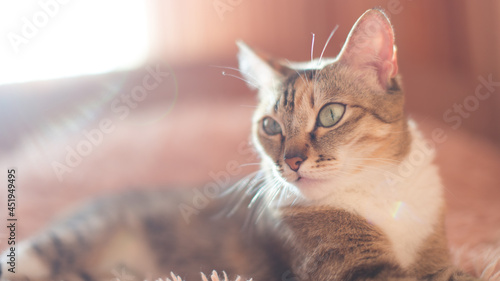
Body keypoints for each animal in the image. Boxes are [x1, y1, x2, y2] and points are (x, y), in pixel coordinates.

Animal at [0, 8, 484, 280]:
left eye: (330, 114)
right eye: (270, 125)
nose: (291, 161)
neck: (380, 190)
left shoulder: (433, 250)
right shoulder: (351, 267)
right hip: (64, 242)